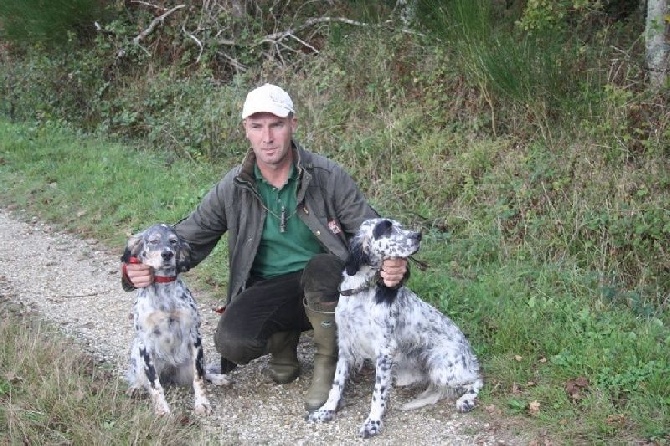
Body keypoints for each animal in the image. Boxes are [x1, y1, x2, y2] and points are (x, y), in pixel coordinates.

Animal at [123, 225, 231, 416]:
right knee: (142, 379)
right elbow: (154, 383)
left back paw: (218, 378)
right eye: (153, 241)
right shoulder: (145, 342)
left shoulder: (194, 336)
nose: (167, 254)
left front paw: (202, 403)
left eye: (173, 241)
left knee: (204, 373)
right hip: (136, 353)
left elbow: (199, 377)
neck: (164, 288)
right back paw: (136, 388)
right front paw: (162, 410)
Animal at [308, 218, 486, 438]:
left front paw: (373, 423)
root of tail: (468, 352)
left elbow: (378, 393)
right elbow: (337, 384)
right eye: (387, 228)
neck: (363, 291)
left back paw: (466, 401)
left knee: (476, 380)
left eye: (400, 226)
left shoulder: (384, 351)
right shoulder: (346, 345)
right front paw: (326, 410)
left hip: (442, 369)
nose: (418, 235)